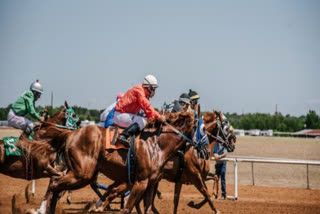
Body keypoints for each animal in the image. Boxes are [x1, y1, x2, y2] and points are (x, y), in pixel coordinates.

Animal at [44, 111, 195, 213]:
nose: (198, 149)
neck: (157, 144)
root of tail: (71, 134)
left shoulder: (149, 184)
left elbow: (144, 207)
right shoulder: (141, 182)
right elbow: (126, 207)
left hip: (79, 172)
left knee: (56, 183)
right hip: (82, 175)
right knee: (55, 184)